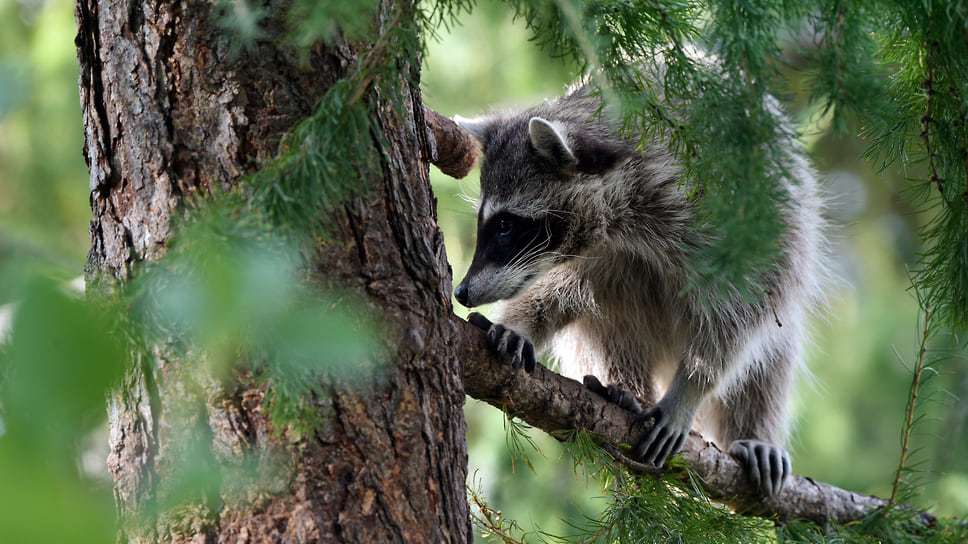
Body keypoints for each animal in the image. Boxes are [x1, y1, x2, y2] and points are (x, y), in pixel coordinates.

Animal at [452, 83, 824, 496]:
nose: (461, 292)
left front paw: (690, 388)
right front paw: (519, 325)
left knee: (770, 363)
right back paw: (626, 390)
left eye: (505, 226)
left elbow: (738, 314)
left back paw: (754, 433)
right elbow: (552, 292)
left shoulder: (731, 216)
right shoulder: (588, 254)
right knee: (610, 323)